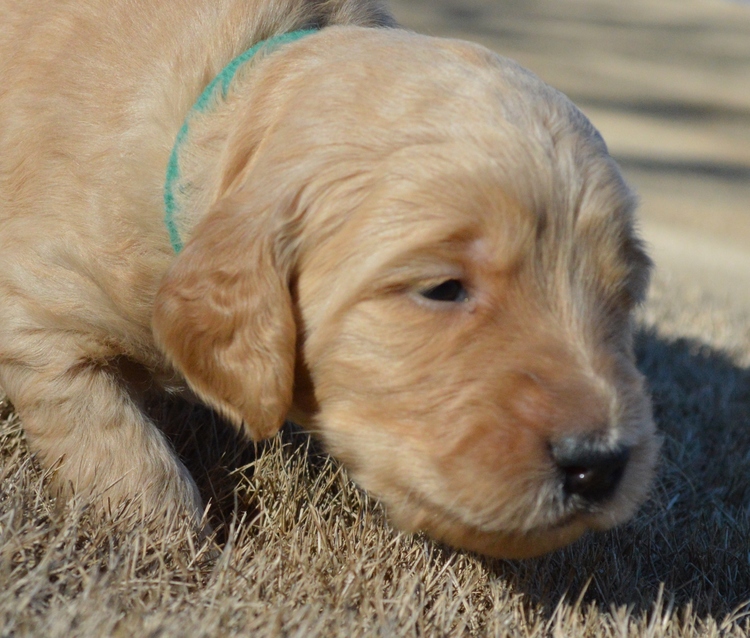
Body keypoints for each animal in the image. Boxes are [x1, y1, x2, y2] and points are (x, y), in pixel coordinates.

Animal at [0, 0, 656, 560]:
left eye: (622, 294)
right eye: (442, 290)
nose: (600, 465)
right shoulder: (39, 318)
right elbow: (120, 446)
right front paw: (173, 548)